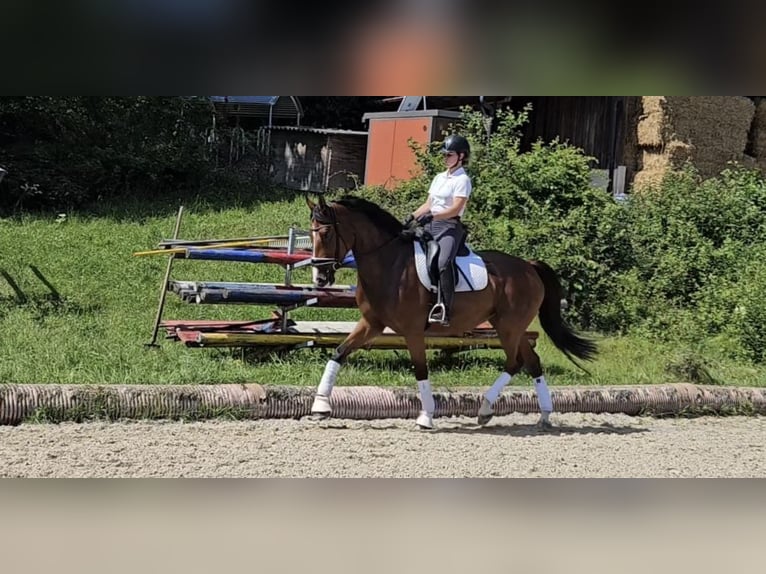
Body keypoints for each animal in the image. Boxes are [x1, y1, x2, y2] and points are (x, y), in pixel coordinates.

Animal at [306, 196, 600, 430]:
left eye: (327, 234)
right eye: (311, 234)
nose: (319, 278)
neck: (390, 264)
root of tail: (529, 266)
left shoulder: (412, 330)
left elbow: (420, 370)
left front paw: (426, 417)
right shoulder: (372, 324)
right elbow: (339, 352)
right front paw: (320, 407)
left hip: (509, 328)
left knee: (515, 362)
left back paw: (487, 409)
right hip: (510, 327)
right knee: (532, 362)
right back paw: (542, 415)